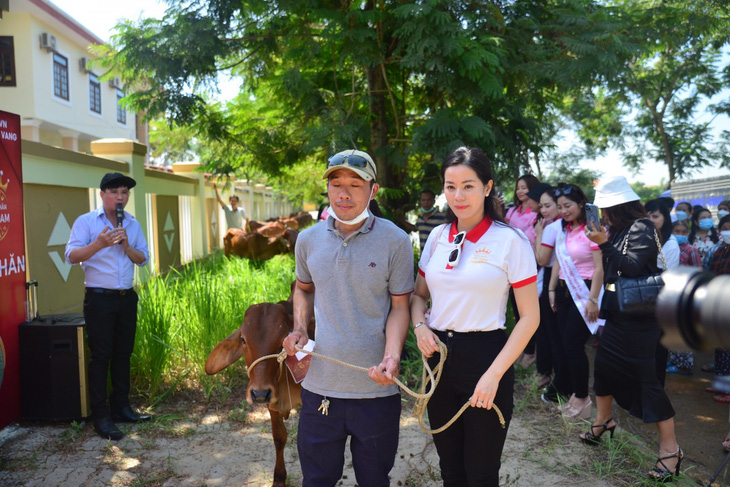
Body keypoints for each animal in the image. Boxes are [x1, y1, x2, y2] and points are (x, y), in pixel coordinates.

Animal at [208, 302, 316, 487]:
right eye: (243, 339)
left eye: (282, 341)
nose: (259, 393)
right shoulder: (271, 403)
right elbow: (279, 437)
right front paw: (279, 478)